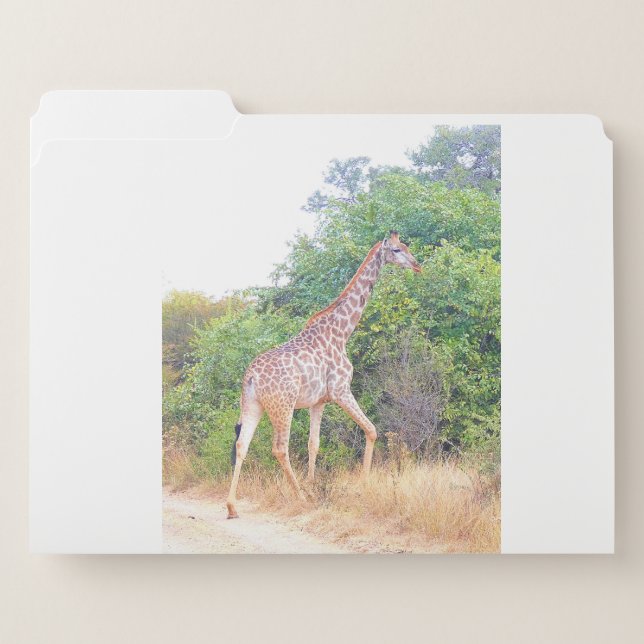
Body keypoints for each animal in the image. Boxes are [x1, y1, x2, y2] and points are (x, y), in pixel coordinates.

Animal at [226, 231, 422, 519]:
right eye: (396, 250)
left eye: (406, 247)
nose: (417, 265)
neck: (342, 332)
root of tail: (251, 377)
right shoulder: (341, 390)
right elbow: (372, 429)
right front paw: (363, 484)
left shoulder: (318, 402)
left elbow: (313, 443)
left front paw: (312, 485)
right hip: (283, 406)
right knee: (280, 448)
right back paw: (298, 498)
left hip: (253, 405)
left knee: (242, 445)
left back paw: (232, 506)